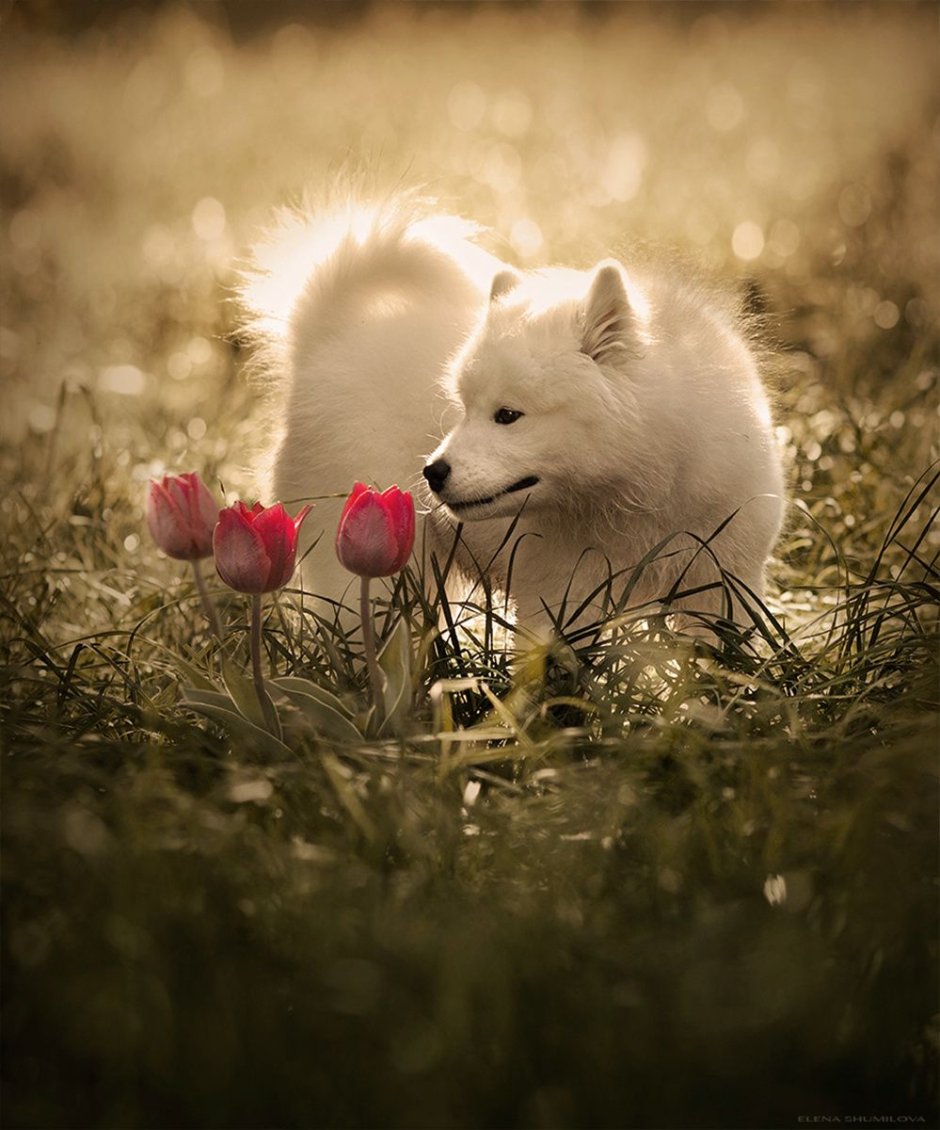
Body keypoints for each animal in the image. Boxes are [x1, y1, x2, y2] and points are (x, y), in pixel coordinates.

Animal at [243, 197, 784, 636]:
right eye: (463, 409)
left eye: (507, 415)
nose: (432, 473)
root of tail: (322, 340)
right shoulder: (559, 596)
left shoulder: (723, 585)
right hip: (369, 570)